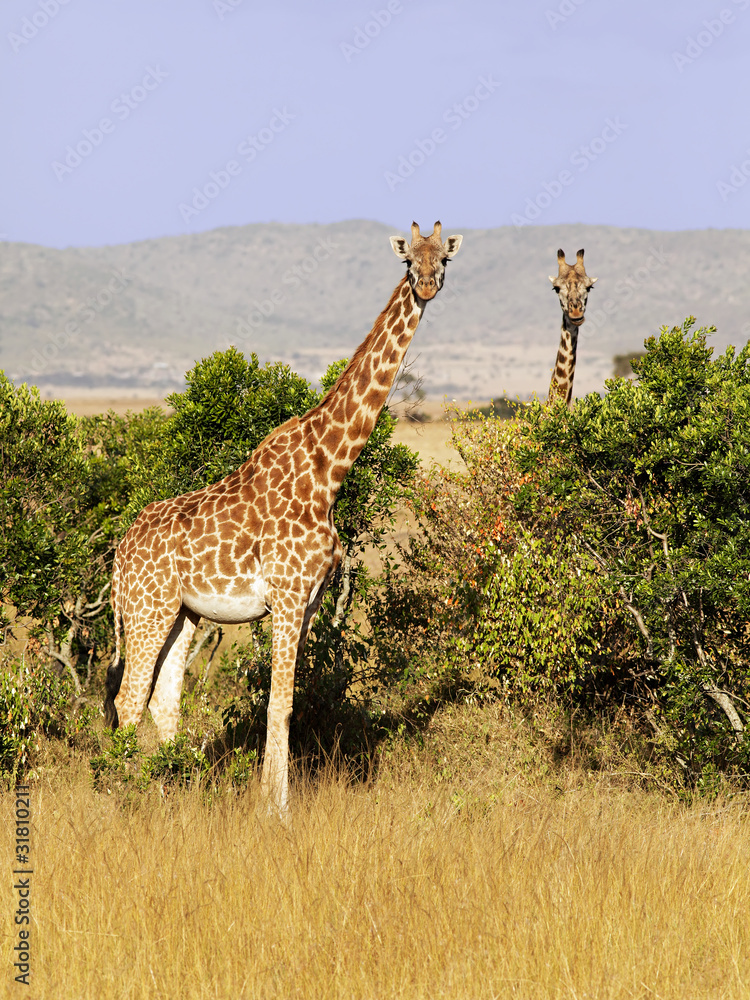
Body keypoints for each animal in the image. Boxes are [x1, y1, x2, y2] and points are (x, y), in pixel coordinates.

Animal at [105, 221, 462, 813]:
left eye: (445, 260)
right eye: (409, 260)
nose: (429, 286)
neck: (329, 470)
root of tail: (118, 554)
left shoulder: (311, 601)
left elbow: (288, 700)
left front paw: (272, 799)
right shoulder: (288, 596)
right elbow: (278, 703)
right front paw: (276, 808)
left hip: (182, 613)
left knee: (162, 699)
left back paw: (170, 796)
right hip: (145, 608)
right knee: (130, 698)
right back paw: (122, 800)